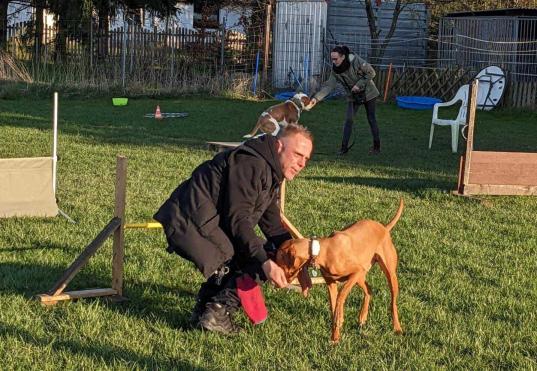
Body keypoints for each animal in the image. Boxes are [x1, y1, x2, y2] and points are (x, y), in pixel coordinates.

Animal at [276, 201, 402, 342]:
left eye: (278, 261)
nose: (276, 283)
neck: (322, 250)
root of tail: (384, 227)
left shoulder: (356, 271)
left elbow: (340, 297)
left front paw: (337, 325)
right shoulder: (331, 283)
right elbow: (333, 306)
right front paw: (335, 335)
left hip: (387, 274)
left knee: (393, 303)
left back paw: (397, 327)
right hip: (361, 276)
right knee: (369, 290)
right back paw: (362, 318)